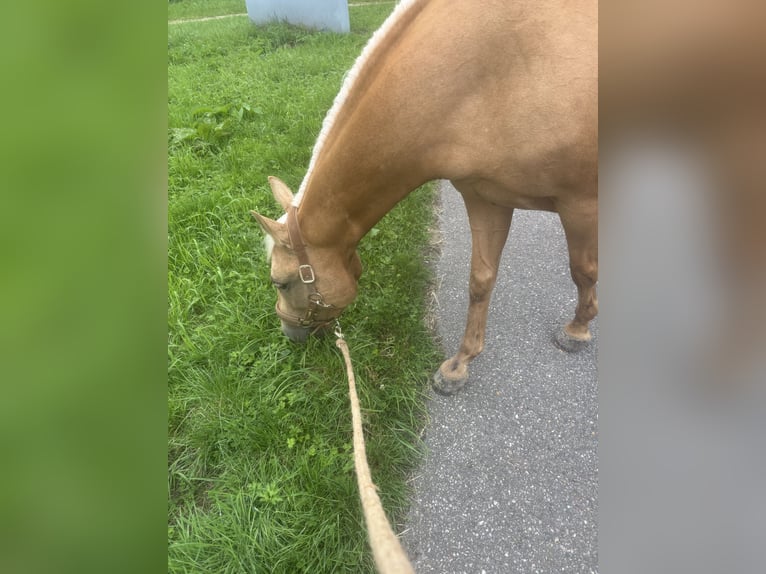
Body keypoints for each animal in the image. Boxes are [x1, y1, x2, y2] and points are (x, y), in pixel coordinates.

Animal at [251, 0, 597, 394]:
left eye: (281, 282)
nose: (288, 332)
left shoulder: (580, 204)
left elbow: (583, 271)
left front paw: (578, 330)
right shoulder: (487, 199)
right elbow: (480, 280)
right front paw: (459, 366)